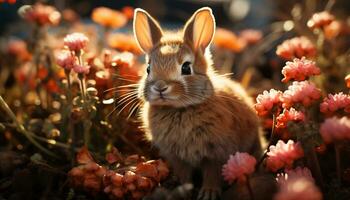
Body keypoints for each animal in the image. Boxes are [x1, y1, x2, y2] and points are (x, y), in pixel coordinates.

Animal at [133, 7, 264, 199]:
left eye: (186, 68)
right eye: (148, 68)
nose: (160, 87)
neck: (180, 109)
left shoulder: (216, 153)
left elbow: (212, 173)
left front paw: (208, 193)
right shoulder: (177, 157)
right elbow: (184, 174)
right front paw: (182, 191)